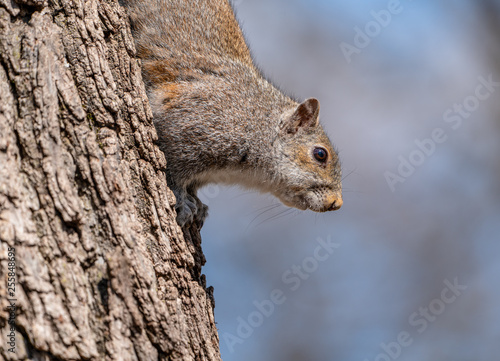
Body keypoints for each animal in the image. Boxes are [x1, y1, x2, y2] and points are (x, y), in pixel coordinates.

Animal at [124, 0, 344, 225]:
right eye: (320, 154)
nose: (336, 203)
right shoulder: (191, 124)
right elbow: (171, 170)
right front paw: (182, 200)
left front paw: (199, 205)